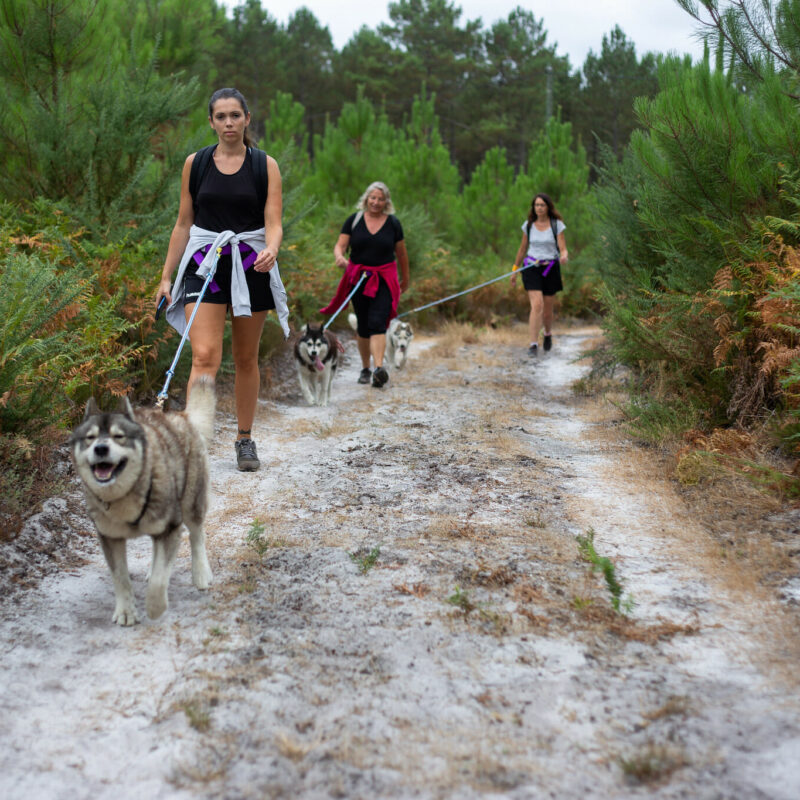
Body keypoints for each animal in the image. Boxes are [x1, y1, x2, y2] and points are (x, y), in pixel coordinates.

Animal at [70, 378, 216, 628]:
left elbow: (159, 581)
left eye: (119, 436)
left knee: (196, 535)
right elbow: (120, 578)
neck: (126, 494)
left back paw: (201, 574)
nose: (100, 448)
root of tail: (181, 415)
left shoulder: (170, 527)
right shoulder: (110, 537)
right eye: (90, 438)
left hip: (191, 503)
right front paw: (126, 611)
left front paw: (155, 608)